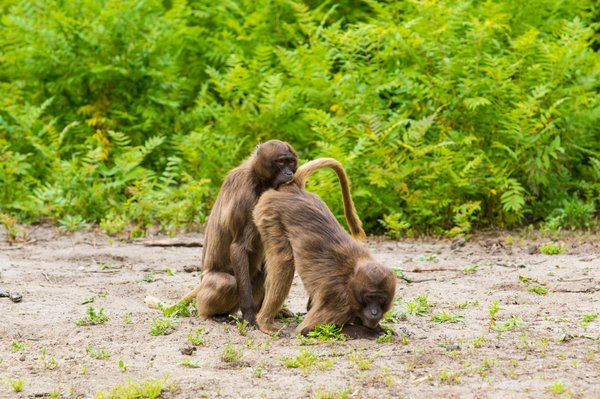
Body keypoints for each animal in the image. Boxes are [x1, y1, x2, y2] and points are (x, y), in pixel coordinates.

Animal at [145, 139, 296, 326]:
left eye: (291, 162)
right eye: (281, 162)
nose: (289, 173)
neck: (257, 177)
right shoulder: (246, 198)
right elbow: (238, 247)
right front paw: (249, 315)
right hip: (213, 289)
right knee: (227, 283)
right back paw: (212, 315)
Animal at [252, 159, 396, 338]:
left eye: (381, 299)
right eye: (370, 298)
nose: (375, 313)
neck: (351, 280)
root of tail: (294, 190)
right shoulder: (340, 303)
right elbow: (308, 328)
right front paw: (375, 331)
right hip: (270, 214)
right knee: (283, 263)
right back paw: (265, 322)